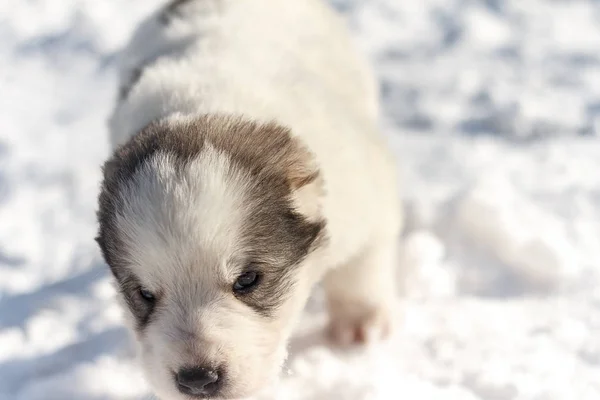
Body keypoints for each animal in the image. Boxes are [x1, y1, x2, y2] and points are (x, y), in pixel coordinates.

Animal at [95, 0, 404, 400]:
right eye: (144, 294)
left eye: (247, 280)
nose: (197, 380)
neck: (205, 107)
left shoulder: (366, 195)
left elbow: (361, 266)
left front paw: (359, 322)